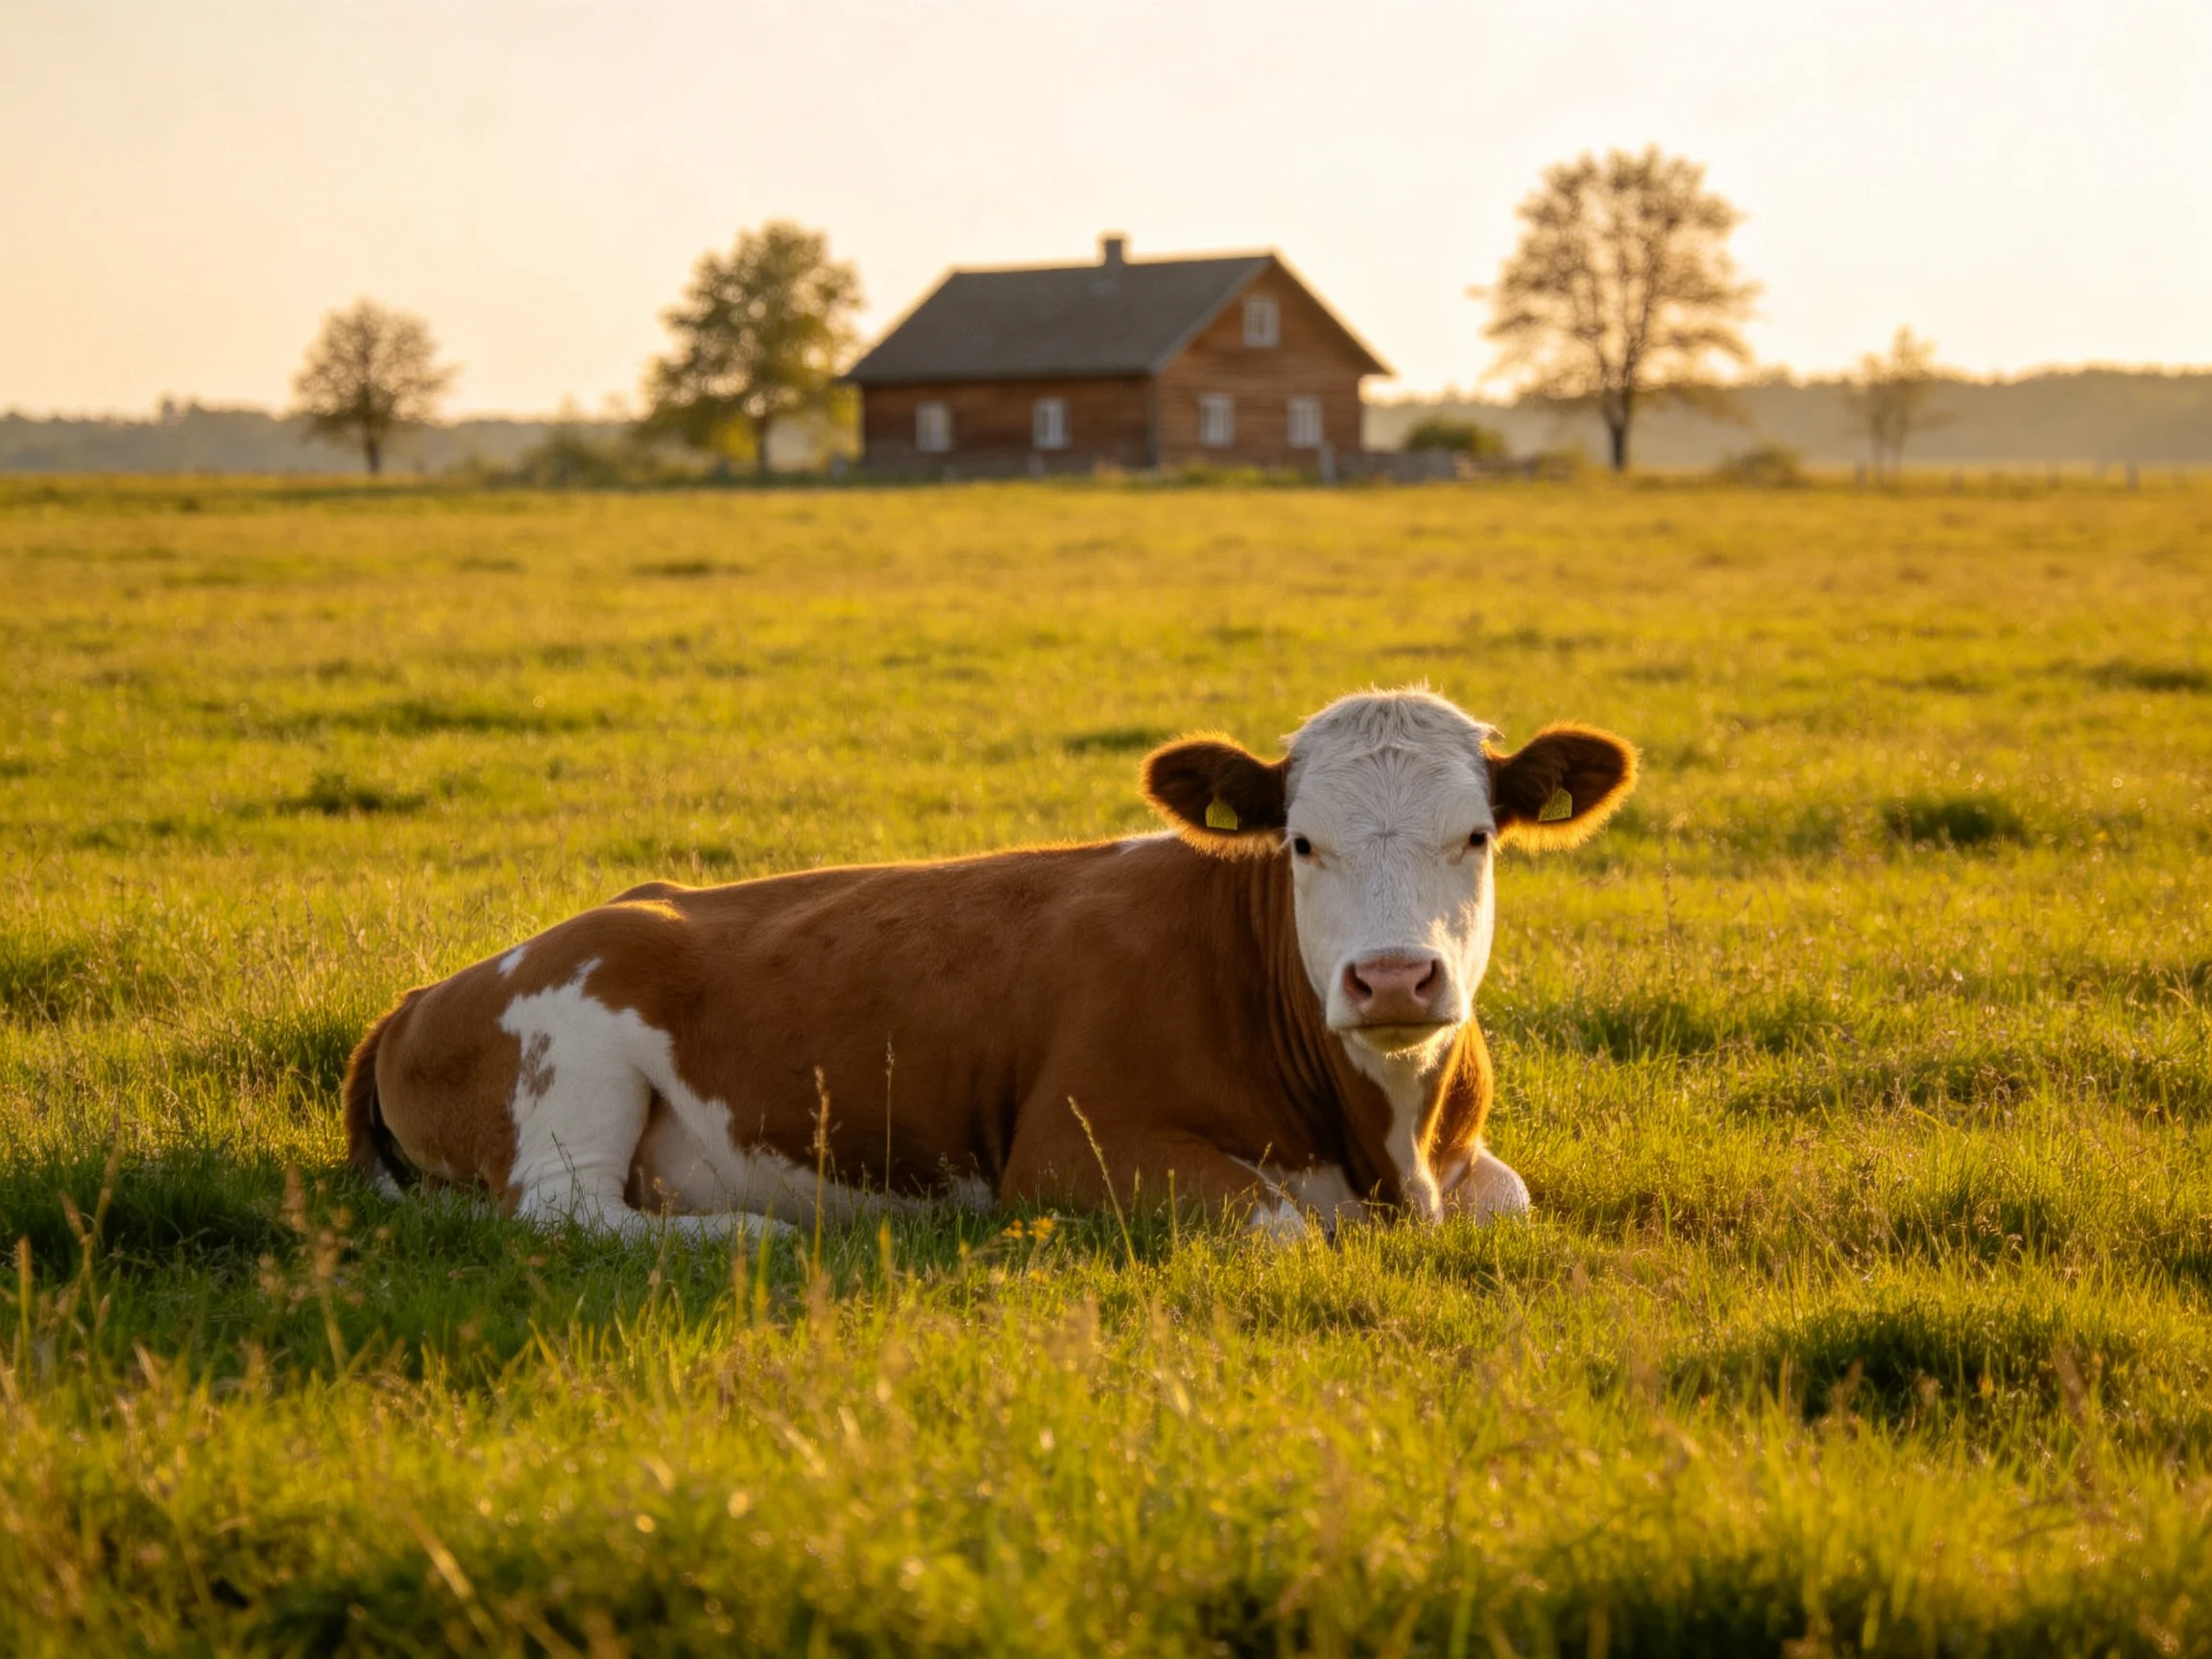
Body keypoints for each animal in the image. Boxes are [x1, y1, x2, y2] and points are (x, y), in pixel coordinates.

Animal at [341, 688, 1635, 1242]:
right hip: (573, 1064)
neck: (1387, 1146)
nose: (1394, 980)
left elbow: (1511, 1203)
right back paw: (757, 1232)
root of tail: (420, 994)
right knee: (564, 1215)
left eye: (1476, 837)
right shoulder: (1066, 1151)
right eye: (1302, 843)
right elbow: (1281, 1225)